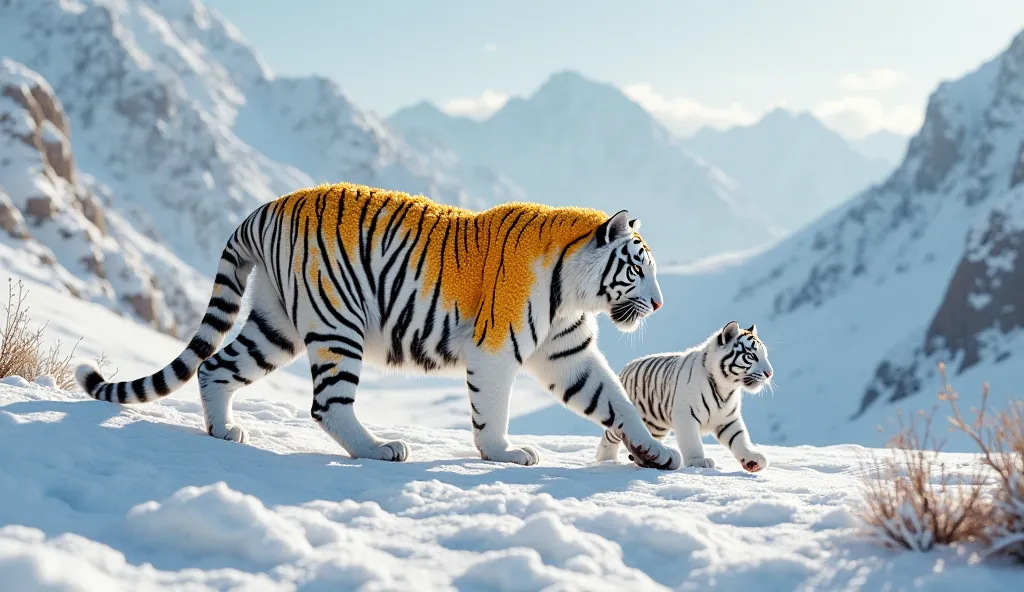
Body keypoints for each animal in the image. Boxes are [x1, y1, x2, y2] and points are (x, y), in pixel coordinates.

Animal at [74, 182, 679, 467]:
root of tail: (262, 209)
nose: (659, 304)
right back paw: (379, 449)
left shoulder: (566, 353)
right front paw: (503, 453)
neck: (573, 291)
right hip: (336, 324)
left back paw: (224, 431)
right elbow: (491, 409)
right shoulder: (494, 348)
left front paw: (656, 454)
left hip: (274, 324)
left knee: (215, 366)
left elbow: (614, 399)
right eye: (639, 268)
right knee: (327, 405)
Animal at [598, 317, 770, 471]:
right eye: (751, 356)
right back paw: (606, 459)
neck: (726, 387)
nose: (770, 373)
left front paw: (753, 459)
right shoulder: (686, 415)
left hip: (656, 426)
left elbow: (740, 438)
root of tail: (626, 367)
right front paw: (699, 461)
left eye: (765, 355)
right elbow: (692, 442)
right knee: (610, 437)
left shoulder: (728, 419)